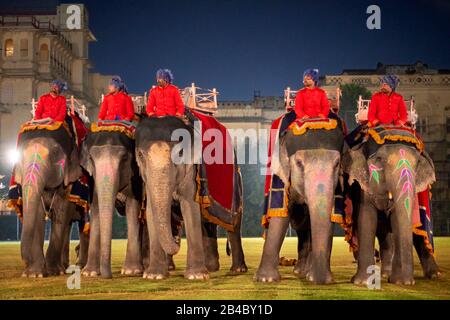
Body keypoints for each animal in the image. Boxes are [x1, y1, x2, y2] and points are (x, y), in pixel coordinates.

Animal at [12, 124, 82, 276]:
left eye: (54, 154)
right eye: (19, 157)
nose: (26, 262)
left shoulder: (69, 180)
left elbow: (61, 210)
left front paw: (54, 272)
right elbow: (38, 213)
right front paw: (34, 274)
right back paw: (65, 266)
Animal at [80, 129, 143, 278]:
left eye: (124, 158)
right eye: (91, 159)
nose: (108, 276)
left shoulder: (136, 176)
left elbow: (133, 207)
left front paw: (131, 271)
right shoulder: (92, 179)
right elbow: (95, 207)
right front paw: (89, 273)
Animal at [135, 115, 248, 280]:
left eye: (180, 153)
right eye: (140, 155)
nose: (176, 242)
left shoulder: (192, 171)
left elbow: (189, 206)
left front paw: (196, 276)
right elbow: (150, 211)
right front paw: (154, 276)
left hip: (237, 184)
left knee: (233, 224)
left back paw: (237, 270)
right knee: (207, 223)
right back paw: (211, 267)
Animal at [255, 119, 346, 284]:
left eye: (337, 163)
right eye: (298, 163)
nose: (321, 281)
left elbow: (329, 217)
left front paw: (316, 278)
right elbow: (281, 215)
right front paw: (266, 279)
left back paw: (303, 272)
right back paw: (300, 271)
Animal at [342, 138, 438, 284]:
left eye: (418, 164)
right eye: (379, 160)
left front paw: (401, 282)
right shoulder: (363, 187)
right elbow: (366, 218)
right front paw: (362, 282)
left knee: (420, 233)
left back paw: (434, 275)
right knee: (384, 233)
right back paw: (384, 275)